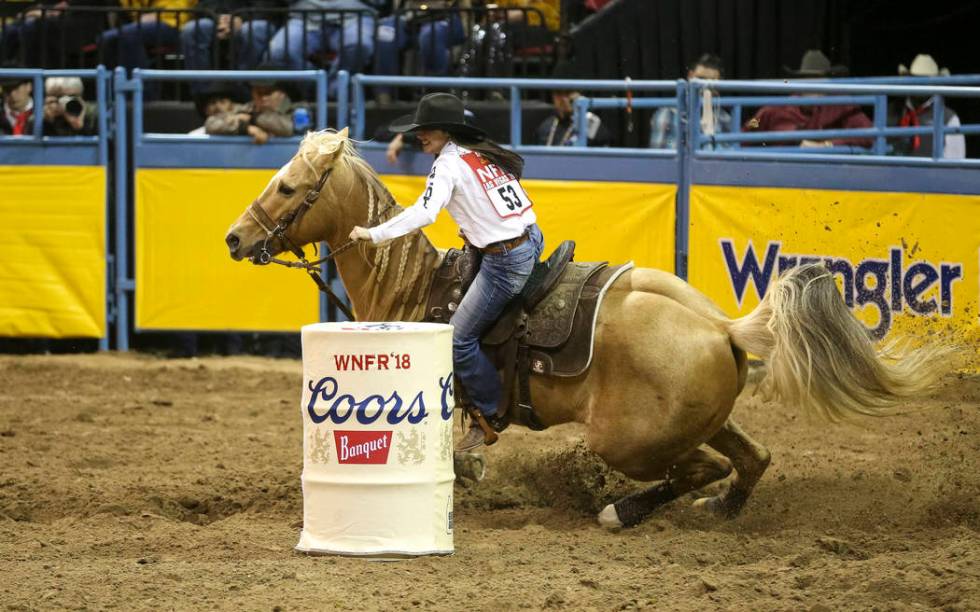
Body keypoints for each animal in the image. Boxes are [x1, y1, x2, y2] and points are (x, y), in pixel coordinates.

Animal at [224, 131, 948, 528]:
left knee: (702, 468)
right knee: (751, 459)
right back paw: (719, 512)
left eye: (286, 186)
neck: (413, 287)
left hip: (628, 439)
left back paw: (618, 512)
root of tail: (722, 326)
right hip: (702, 419)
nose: (234, 238)